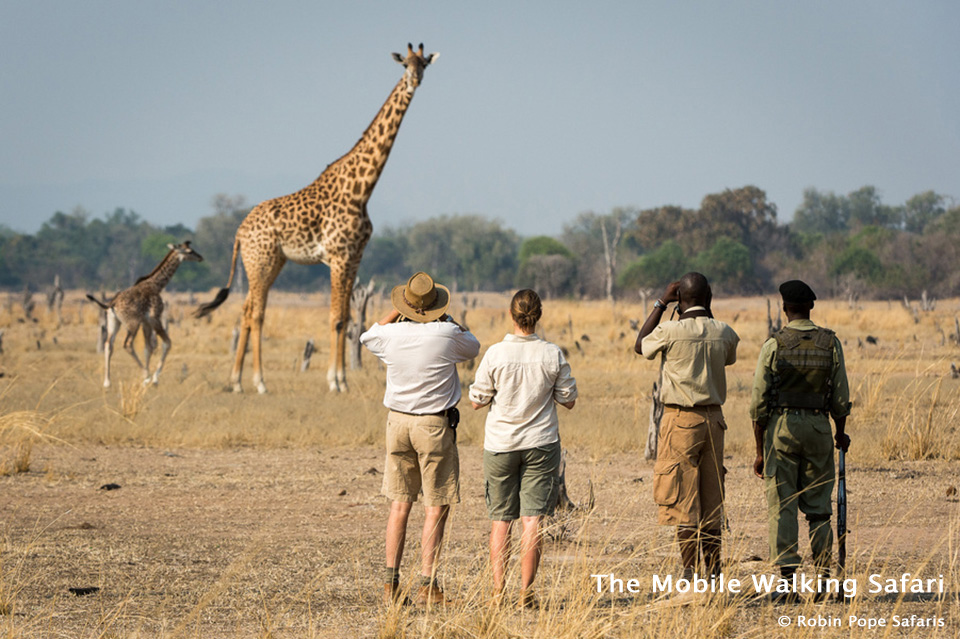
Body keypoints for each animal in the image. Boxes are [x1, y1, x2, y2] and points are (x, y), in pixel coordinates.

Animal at [89, 241, 203, 388]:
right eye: (189, 251)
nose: (200, 257)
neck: (156, 285)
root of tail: (112, 304)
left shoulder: (145, 322)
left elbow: (147, 348)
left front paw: (147, 380)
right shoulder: (155, 318)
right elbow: (167, 343)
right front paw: (153, 378)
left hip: (113, 322)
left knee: (108, 344)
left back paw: (107, 382)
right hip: (132, 323)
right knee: (127, 344)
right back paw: (145, 374)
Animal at [199, 43, 438, 396]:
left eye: (424, 64)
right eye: (404, 64)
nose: (414, 81)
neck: (362, 189)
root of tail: (239, 233)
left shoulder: (354, 257)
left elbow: (347, 317)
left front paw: (342, 379)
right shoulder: (338, 257)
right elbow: (336, 318)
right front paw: (335, 381)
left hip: (270, 263)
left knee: (245, 311)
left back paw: (236, 380)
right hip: (260, 262)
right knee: (256, 314)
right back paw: (259, 382)